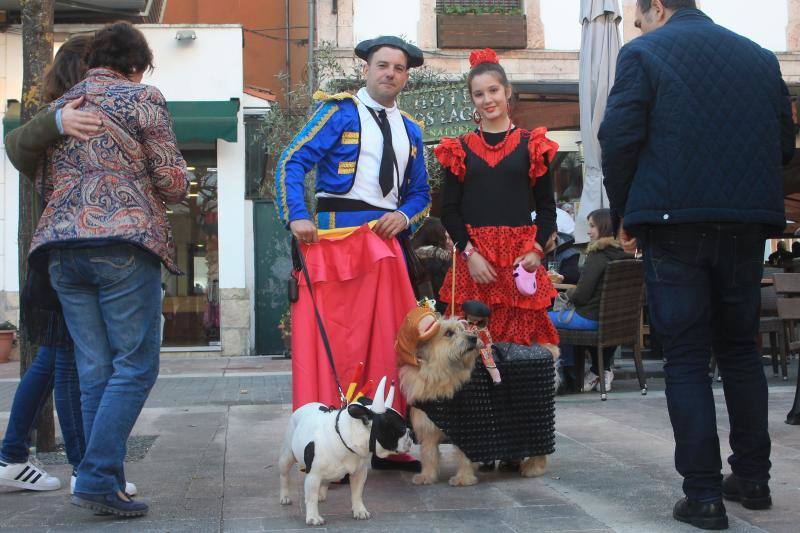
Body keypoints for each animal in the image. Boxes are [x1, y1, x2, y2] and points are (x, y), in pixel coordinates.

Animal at [278, 376, 412, 524]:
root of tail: (304, 406)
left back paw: (321, 494)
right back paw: (285, 497)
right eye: (401, 429)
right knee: (284, 476)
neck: (346, 440)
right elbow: (311, 497)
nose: (410, 433)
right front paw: (313, 517)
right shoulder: (313, 474)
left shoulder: (359, 473)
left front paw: (360, 510)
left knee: (326, 481)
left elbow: (357, 494)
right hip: (287, 456)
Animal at [398, 308, 560, 486]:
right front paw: (427, 476)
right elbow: (429, 455)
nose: (473, 338)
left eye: (463, 329)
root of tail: (546, 350)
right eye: (448, 333)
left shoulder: (468, 429)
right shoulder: (428, 428)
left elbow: (464, 456)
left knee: (539, 448)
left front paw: (463, 478)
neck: (442, 374)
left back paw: (534, 468)